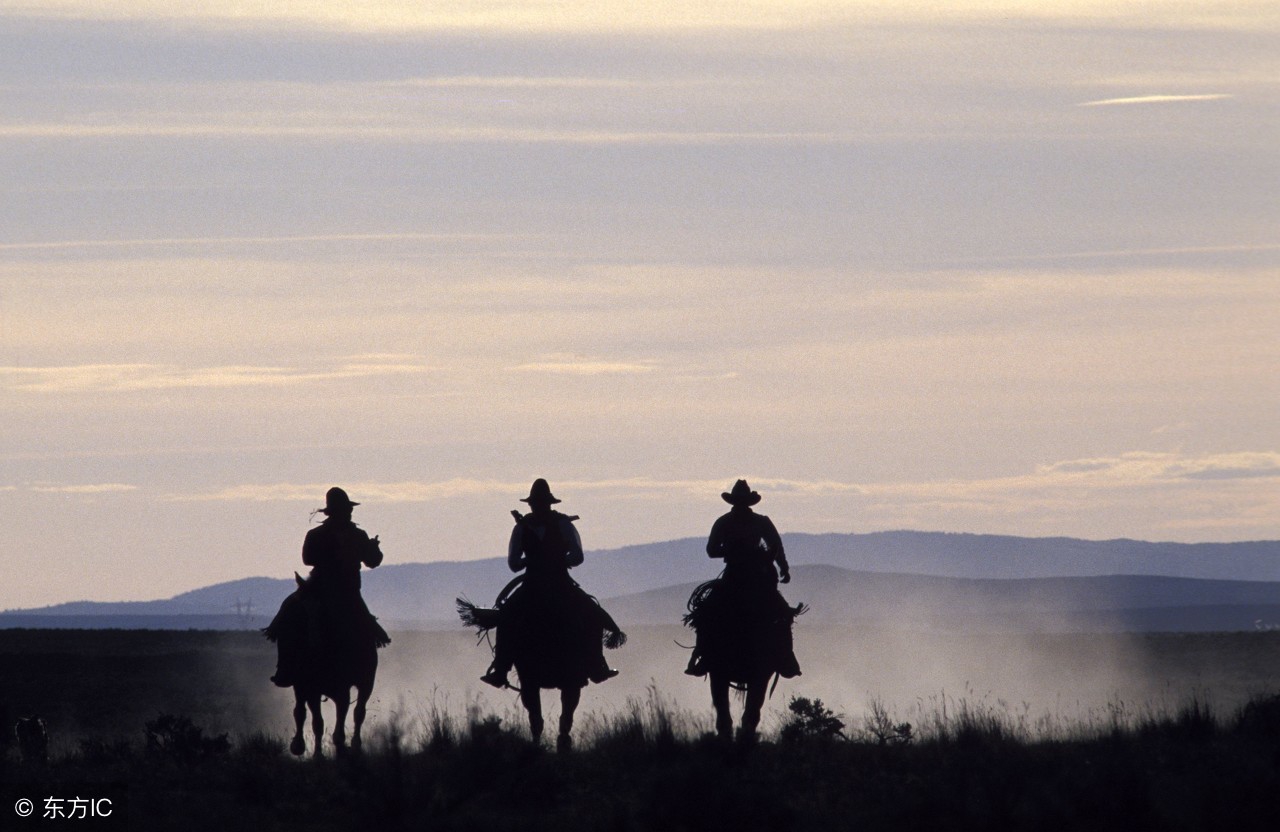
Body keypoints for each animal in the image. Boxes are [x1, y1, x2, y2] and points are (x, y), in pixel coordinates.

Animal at [261, 573, 376, 752]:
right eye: (299, 612)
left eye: (323, 610)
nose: (314, 639)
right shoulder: (310, 688)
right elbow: (316, 722)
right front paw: (314, 753)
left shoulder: (343, 690)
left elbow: (342, 720)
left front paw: (341, 744)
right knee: (300, 711)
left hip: (366, 683)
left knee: (359, 712)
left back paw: (355, 743)